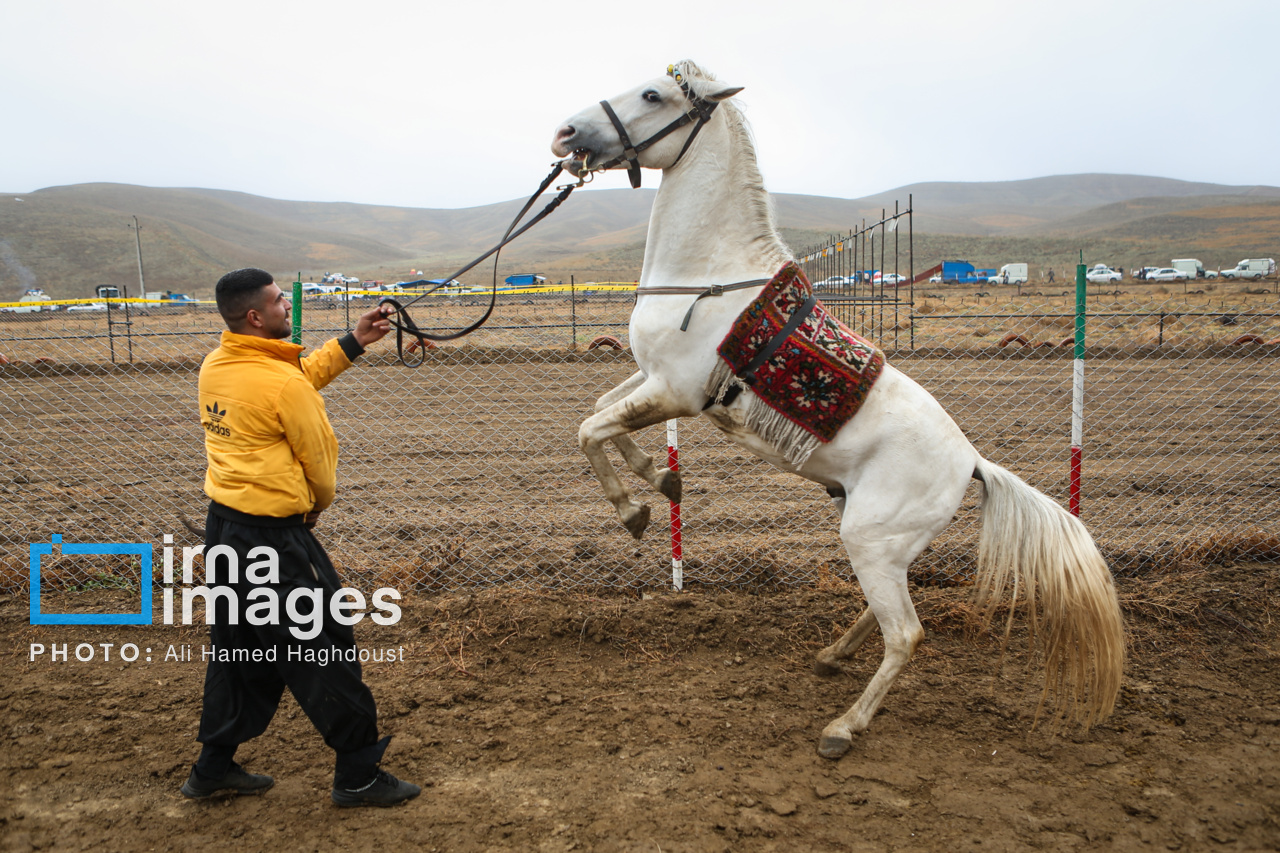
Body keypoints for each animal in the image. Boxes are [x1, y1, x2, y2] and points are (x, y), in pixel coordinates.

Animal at [550, 61, 1121, 758]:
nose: (566, 133)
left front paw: (635, 510)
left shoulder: (675, 391)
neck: (709, 276)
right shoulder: (655, 380)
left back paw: (843, 728)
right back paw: (830, 657)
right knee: (884, 612)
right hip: (882, 541)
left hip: (871, 541)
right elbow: (600, 412)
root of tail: (972, 462)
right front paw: (661, 479)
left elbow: (590, 428)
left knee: (906, 634)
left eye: (653, 94)